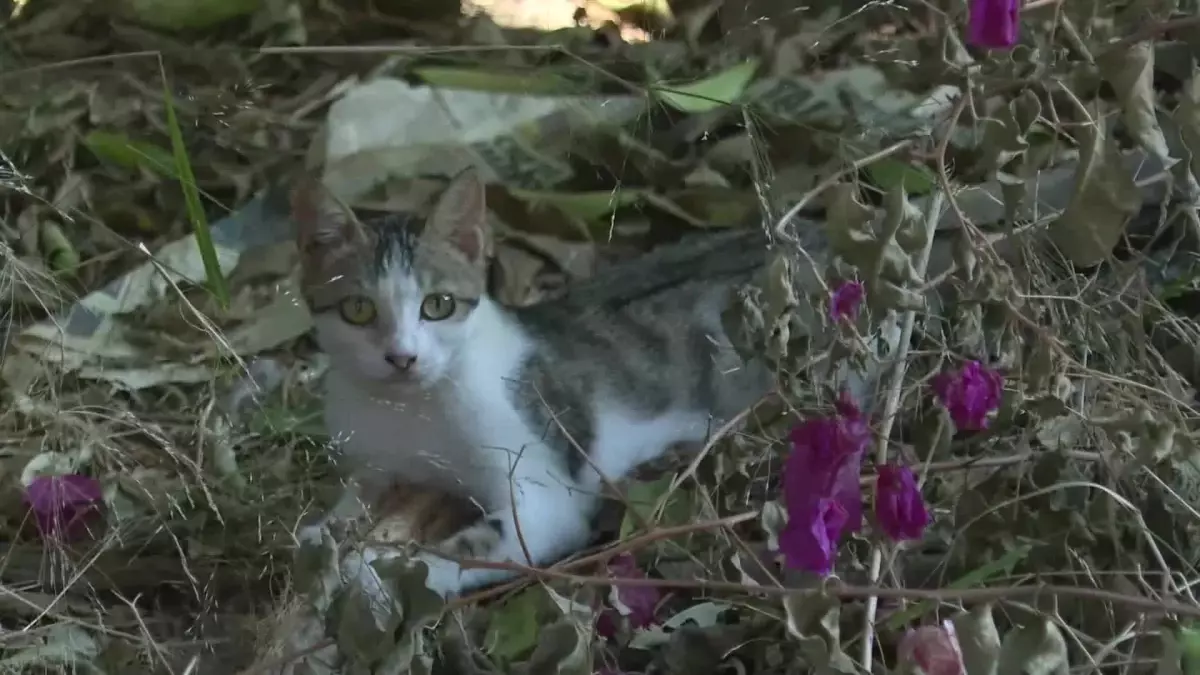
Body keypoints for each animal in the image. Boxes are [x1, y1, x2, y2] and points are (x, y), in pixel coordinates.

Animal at [292, 168, 777, 593]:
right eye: (358, 309)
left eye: (438, 305)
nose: (402, 358)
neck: (409, 411)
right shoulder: (374, 455)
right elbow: (359, 490)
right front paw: (324, 529)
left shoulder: (549, 497)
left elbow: (471, 548)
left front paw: (377, 576)